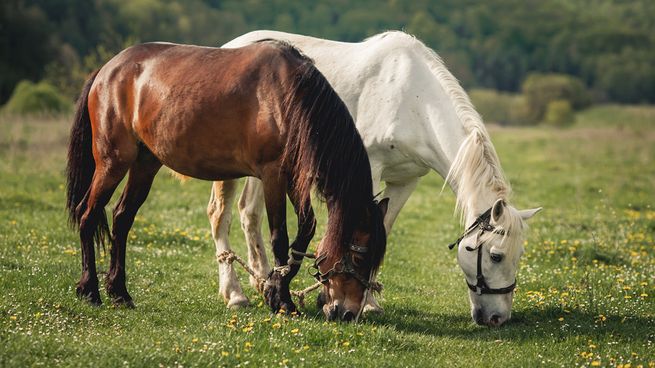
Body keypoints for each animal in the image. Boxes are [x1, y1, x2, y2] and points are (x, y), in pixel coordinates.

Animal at [64, 40, 386, 320]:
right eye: (359, 258)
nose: (348, 313)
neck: (289, 97)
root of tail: (107, 70)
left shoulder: (294, 178)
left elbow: (305, 230)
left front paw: (274, 289)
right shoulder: (273, 176)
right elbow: (279, 238)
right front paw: (282, 300)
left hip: (145, 165)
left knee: (121, 219)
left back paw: (119, 292)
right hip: (112, 163)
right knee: (88, 215)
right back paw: (90, 290)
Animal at [208, 30, 540, 326]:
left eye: (520, 254)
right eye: (496, 256)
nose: (497, 318)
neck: (414, 101)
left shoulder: (406, 181)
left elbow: (384, 230)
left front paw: (367, 301)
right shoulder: (369, 171)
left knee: (249, 213)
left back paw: (264, 280)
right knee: (220, 215)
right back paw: (235, 294)